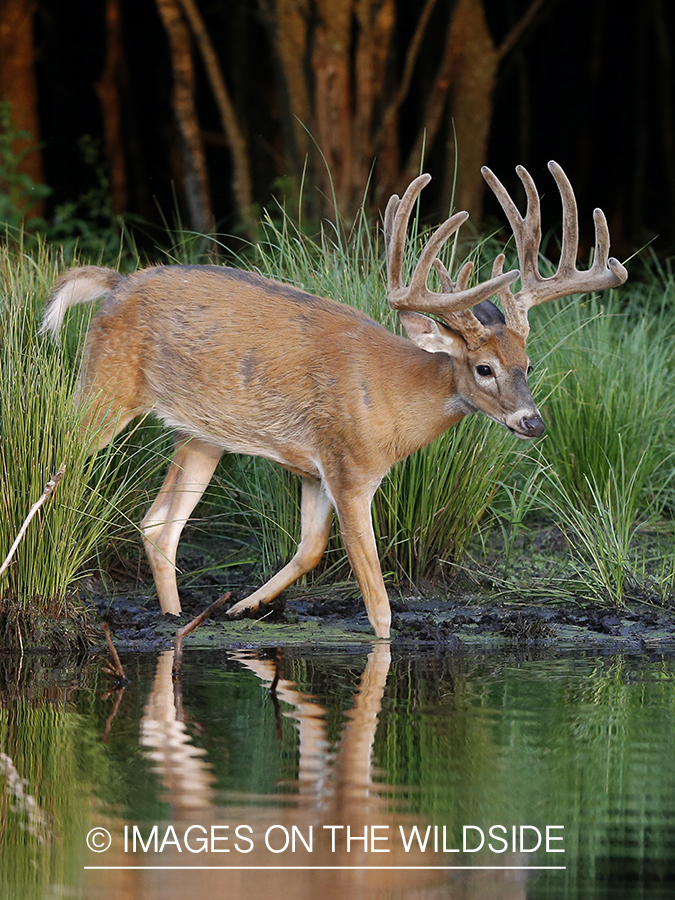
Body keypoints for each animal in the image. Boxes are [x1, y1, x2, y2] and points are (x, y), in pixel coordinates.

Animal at [42, 162, 628, 640]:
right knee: (60, 466)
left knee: (159, 525)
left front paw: (241, 608)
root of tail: (116, 283)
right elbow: (378, 603)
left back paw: (174, 620)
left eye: (528, 364)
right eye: (484, 368)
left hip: (201, 434)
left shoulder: (314, 468)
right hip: (104, 385)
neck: (394, 400)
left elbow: (310, 549)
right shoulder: (351, 468)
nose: (533, 423)